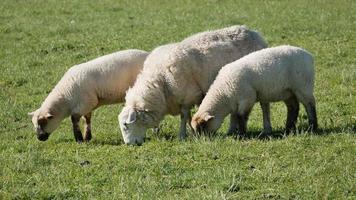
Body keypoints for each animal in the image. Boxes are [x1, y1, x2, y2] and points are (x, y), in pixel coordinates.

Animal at [119, 25, 268, 145]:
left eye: (126, 125)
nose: (129, 144)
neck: (160, 81)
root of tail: (253, 32)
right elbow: (189, 117)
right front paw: (192, 131)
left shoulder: (187, 96)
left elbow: (184, 116)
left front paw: (182, 135)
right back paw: (231, 130)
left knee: (264, 107)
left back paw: (265, 128)